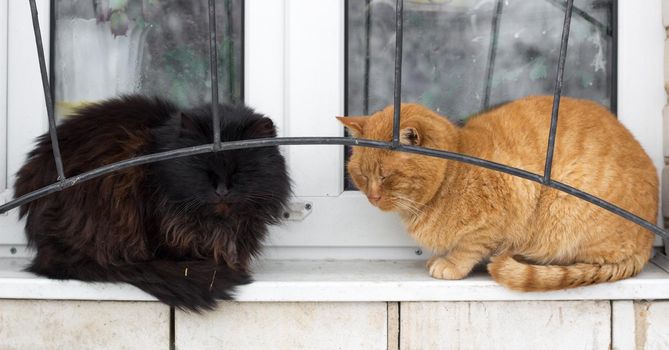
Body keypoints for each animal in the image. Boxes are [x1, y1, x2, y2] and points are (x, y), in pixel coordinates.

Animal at [340, 95, 656, 290]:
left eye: (385, 176)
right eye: (362, 176)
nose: (372, 197)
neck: (453, 175)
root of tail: (648, 243)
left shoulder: (504, 209)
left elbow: (470, 246)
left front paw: (451, 264)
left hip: (565, 205)